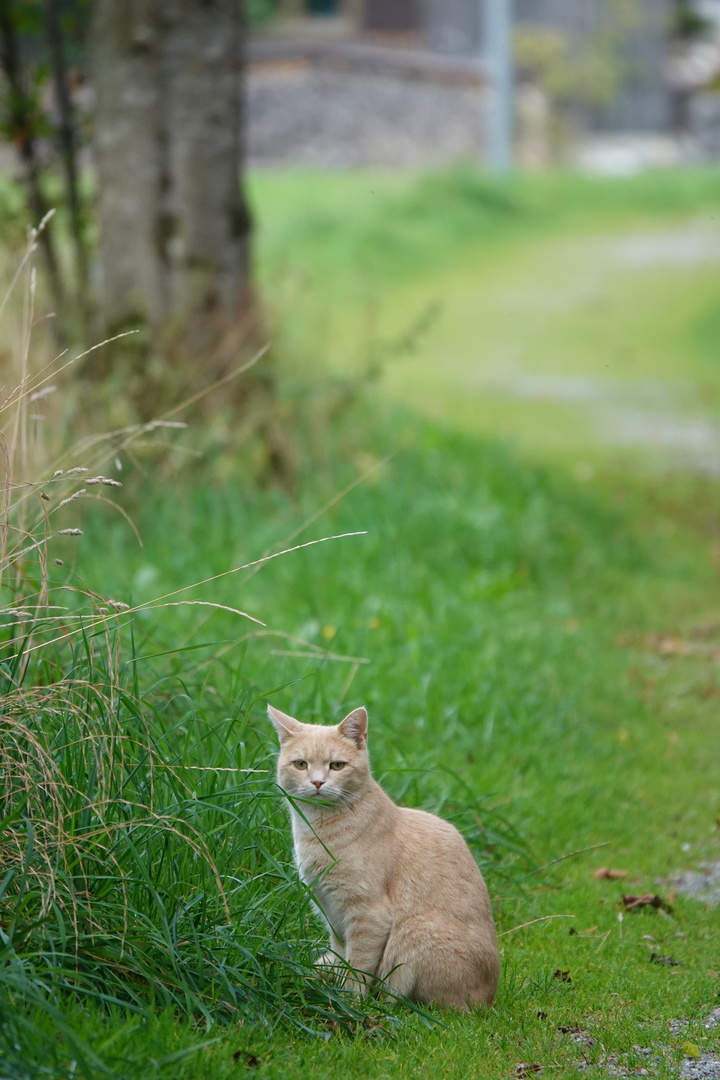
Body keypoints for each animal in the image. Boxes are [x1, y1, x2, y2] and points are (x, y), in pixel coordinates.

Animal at [267, 704, 498, 1006]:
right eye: (301, 764)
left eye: (337, 765)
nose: (317, 782)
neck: (316, 829)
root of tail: (489, 998)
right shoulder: (331, 912)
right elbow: (341, 955)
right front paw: (334, 987)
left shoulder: (368, 915)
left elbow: (357, 967)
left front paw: (348, 1003)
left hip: (415, 932)